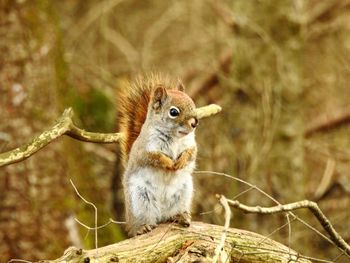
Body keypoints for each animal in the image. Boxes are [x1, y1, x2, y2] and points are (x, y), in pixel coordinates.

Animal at [118, 75, 198, 237]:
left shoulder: (192, 145)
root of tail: (161, 215)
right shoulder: (144, 150)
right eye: (173, 112)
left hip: (183, 194)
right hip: (139, 200)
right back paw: (141, 227)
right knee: (140, 222)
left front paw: (180, 162)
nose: (195, 123)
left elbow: (190, 154)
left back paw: (181, 216)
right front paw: (168, 163)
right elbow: (154, 158)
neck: (175, 137)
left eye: (193, 104)